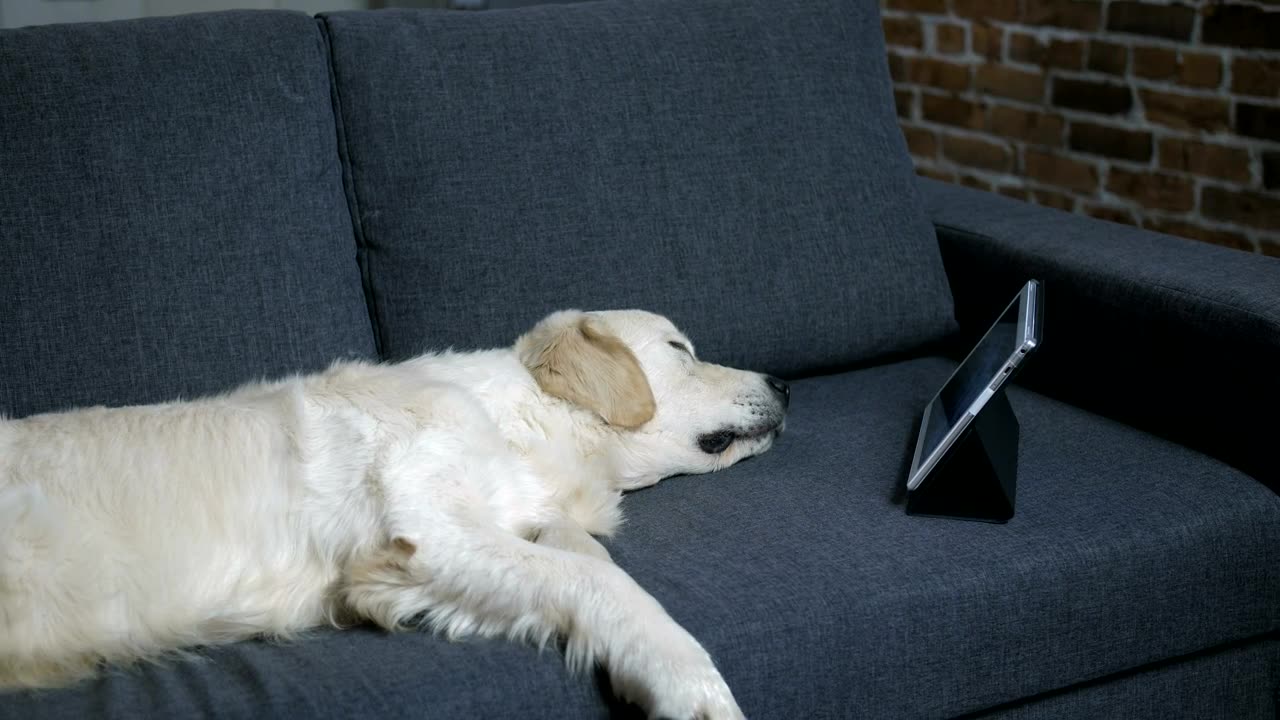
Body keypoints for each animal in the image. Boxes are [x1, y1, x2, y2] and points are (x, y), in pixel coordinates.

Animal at [0, 308, 783, 717]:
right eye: (680, 349)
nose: (781, 381)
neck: (518, 423)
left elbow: (582, 559)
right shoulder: (428, 533)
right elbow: (602, 579)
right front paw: (688, 681)